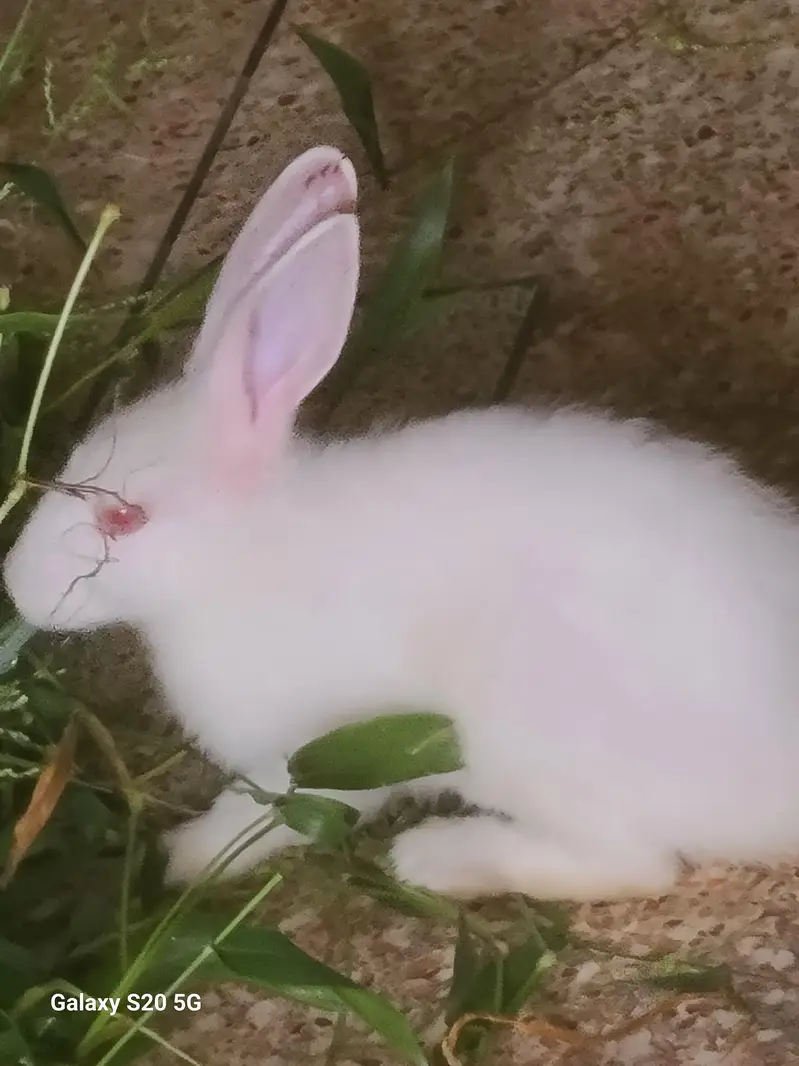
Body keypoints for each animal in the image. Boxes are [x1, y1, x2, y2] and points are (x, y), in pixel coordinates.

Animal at [6, 143, 799, 904]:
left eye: (124, 518)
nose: (16, 587)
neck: (242, 559)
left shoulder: (321, 752)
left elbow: (268, 813)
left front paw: (181, 858)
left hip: (522, 743)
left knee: (631, 868)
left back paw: (433, 860)